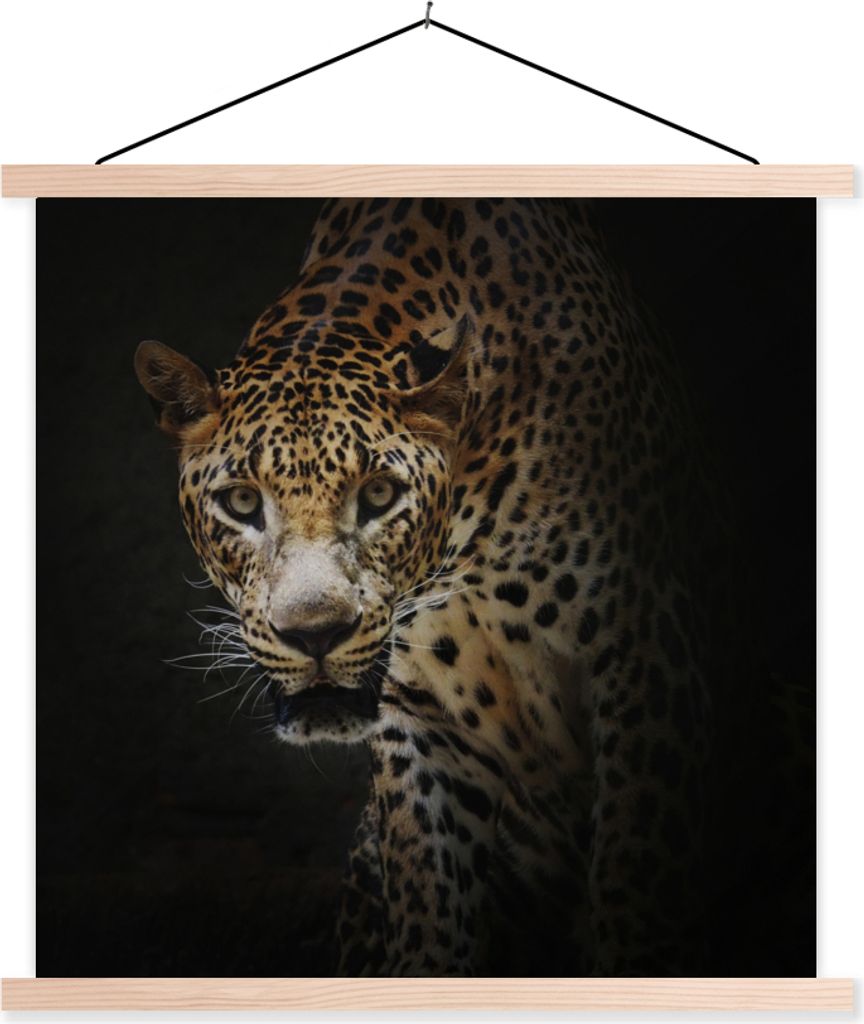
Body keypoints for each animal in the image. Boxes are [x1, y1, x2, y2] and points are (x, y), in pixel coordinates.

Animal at [134, 198, 722, 977]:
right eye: (241, 503)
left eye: (380, 495)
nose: (316, 635)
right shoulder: (415, 712)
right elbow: (429, 909)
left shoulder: (646, 652)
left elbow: (637, 883)